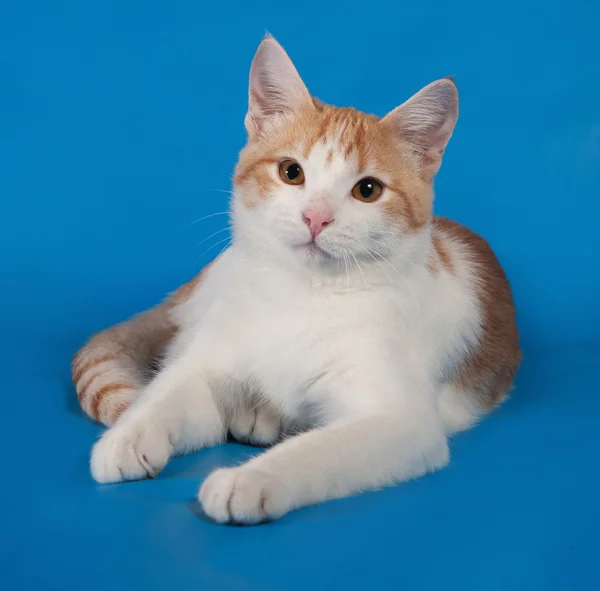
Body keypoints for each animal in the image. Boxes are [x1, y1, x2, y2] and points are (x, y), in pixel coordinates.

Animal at [71, 35, 520, 524]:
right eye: (291, 172)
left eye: (367, 190)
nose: (315, 217)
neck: (303, 293)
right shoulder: (209, 366)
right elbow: (168, 394)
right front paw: (128, 436)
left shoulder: (404, 424)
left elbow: (321, 450)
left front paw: (249, 481)